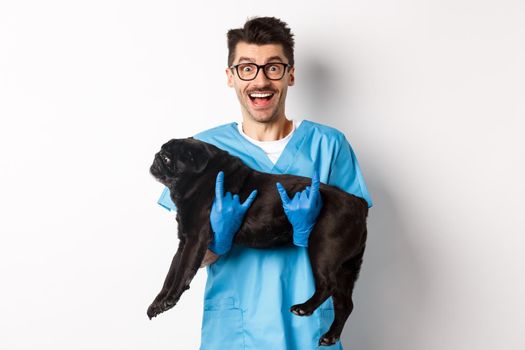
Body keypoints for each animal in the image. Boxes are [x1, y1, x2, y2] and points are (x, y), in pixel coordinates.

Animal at [147, 137, 368, 348]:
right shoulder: (184, 242)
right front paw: (158, 302)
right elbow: (171, 273)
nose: (157, 156)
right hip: (346, 267)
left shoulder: (195, 240)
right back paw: (330, 336)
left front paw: (170, 299)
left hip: (323, 249)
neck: (200, 179)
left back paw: (304, 308)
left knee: (328, 285)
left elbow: (182, 271)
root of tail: (358, 203)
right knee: (344, 304)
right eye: (162, 153)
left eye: (167, 158)